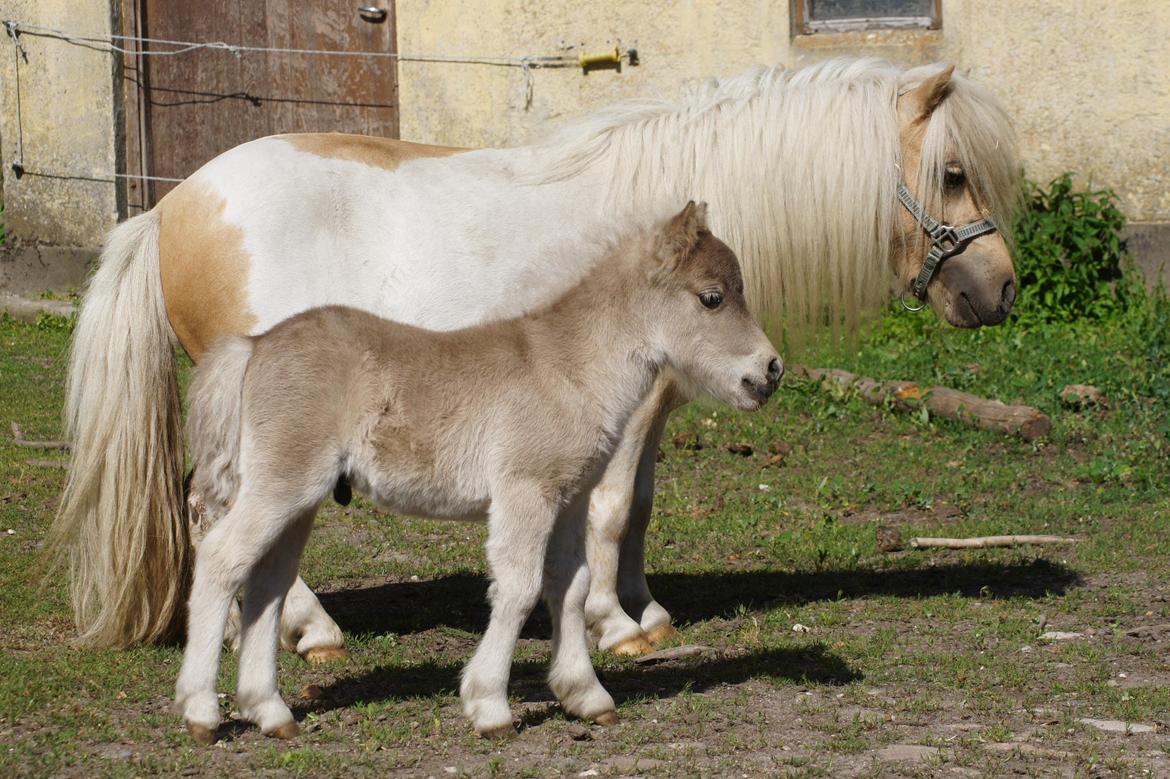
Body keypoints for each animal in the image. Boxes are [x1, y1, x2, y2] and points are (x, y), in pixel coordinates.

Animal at [57, 57, 1015, 659]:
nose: (1001, 290)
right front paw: (611, 623)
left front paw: (644, 608)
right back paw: (305, 630)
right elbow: (612, 508)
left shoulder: (650, 407)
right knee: (222, 511)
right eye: (953, 174)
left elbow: (638, 509)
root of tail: (172, 206)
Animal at [173, 201, 781, 739]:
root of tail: (253, 347)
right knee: (223, 558)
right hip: (280, 485)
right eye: (712, 298)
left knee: (268, 584)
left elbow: (571, 586)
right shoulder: (525, 491)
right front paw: (490, 705)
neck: (567, 369)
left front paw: (585, 695)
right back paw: (202, 711)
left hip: (297, 499)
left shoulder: (569, 497)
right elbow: (518, 587)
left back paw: (270, 711)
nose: (769, 371)